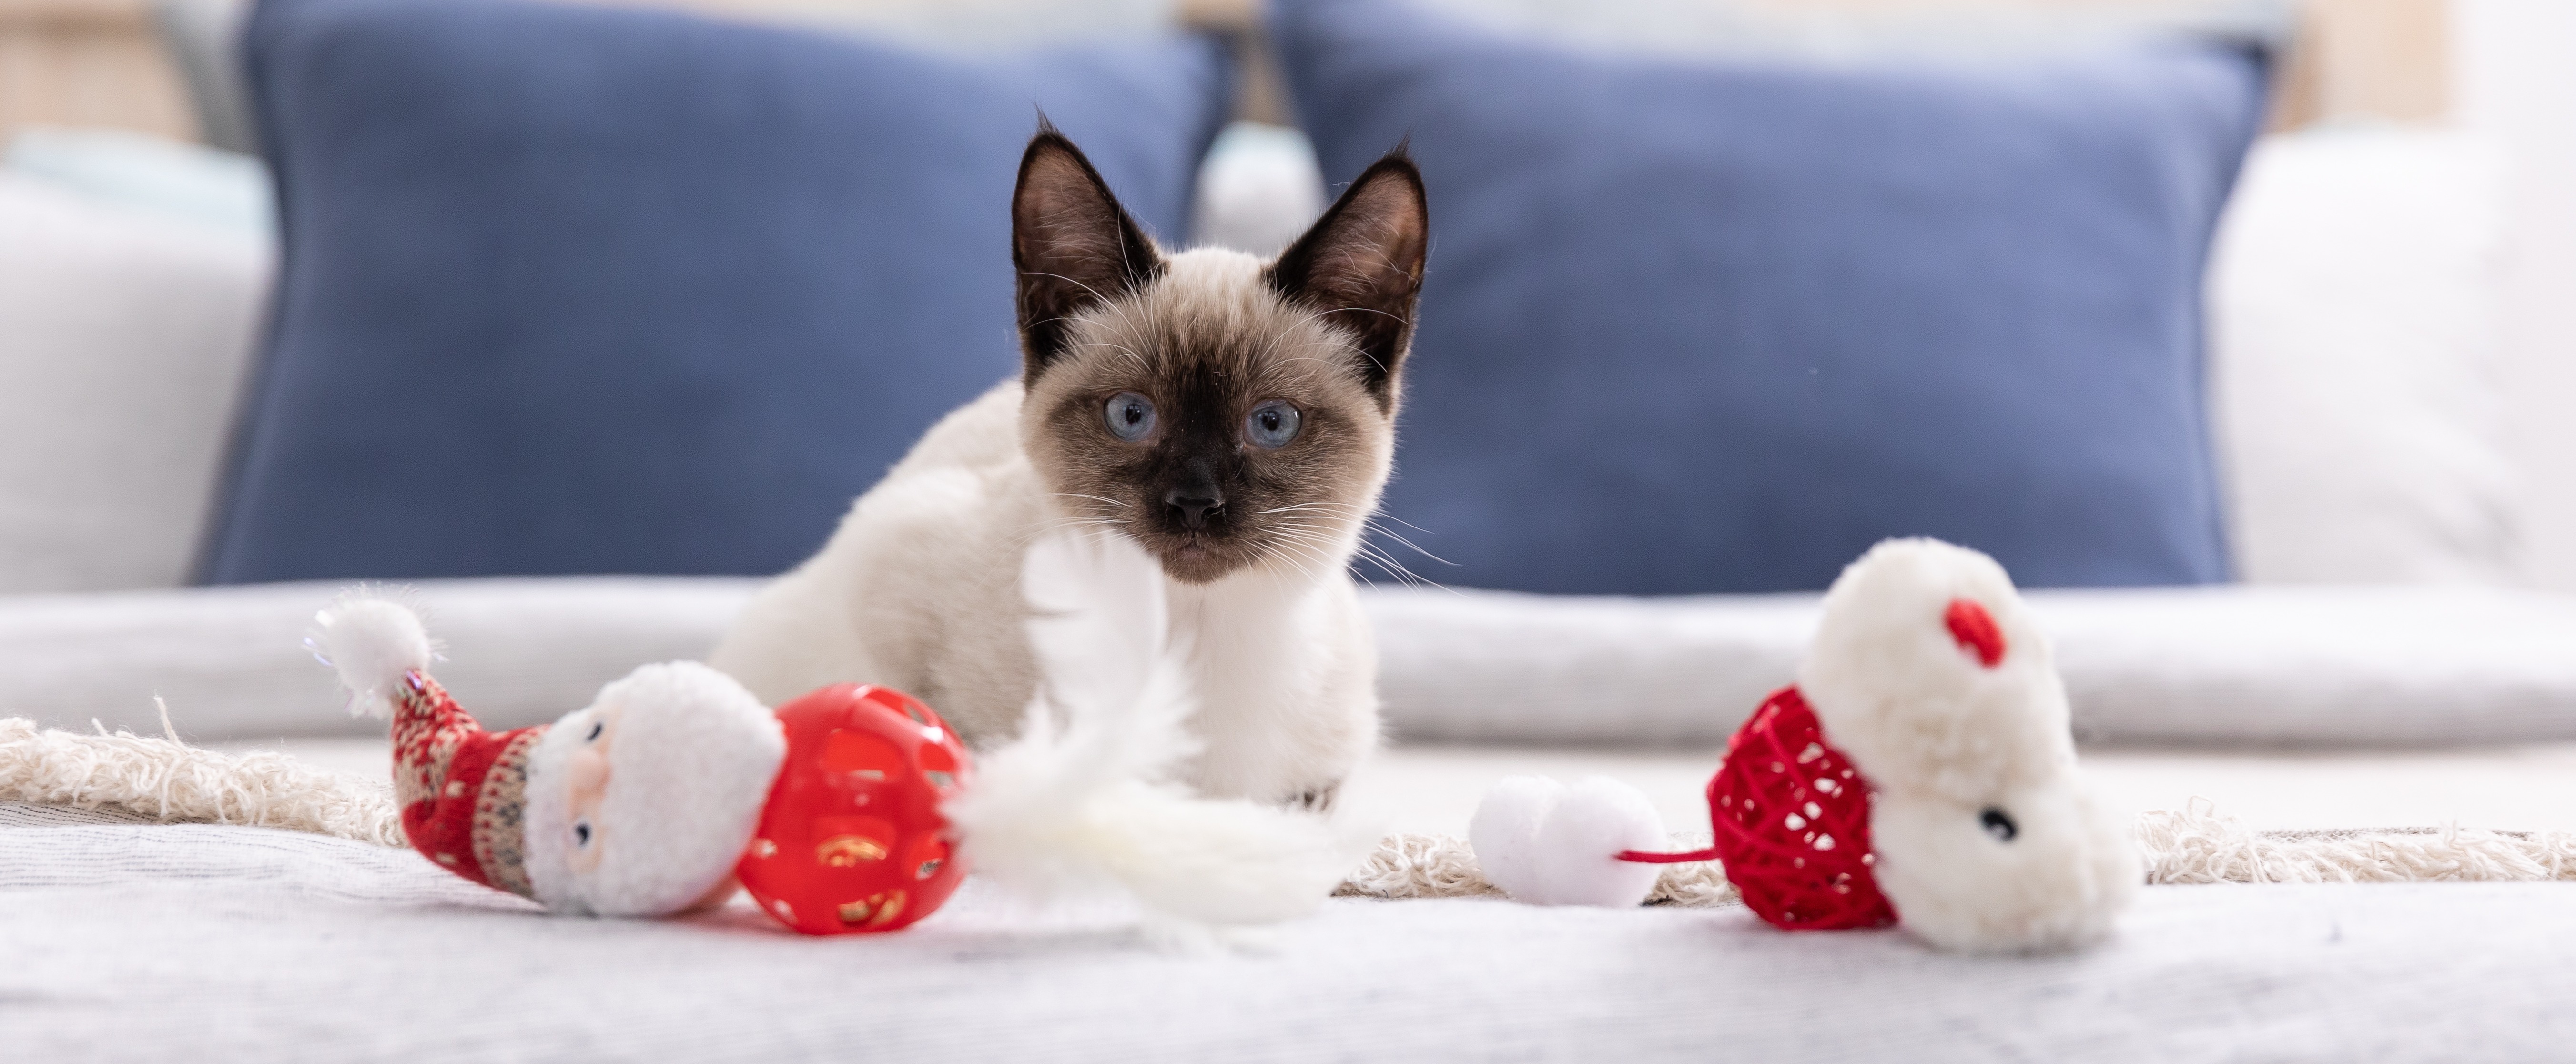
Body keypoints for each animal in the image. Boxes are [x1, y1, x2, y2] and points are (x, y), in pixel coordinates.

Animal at [711, 124, 1432, 803]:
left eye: (1272, 423)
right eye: (1131, 416)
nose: (1195, 505)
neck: (1189, 638)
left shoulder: (1325, 765)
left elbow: (1302, 797)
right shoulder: (895, 554)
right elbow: (944, 730)